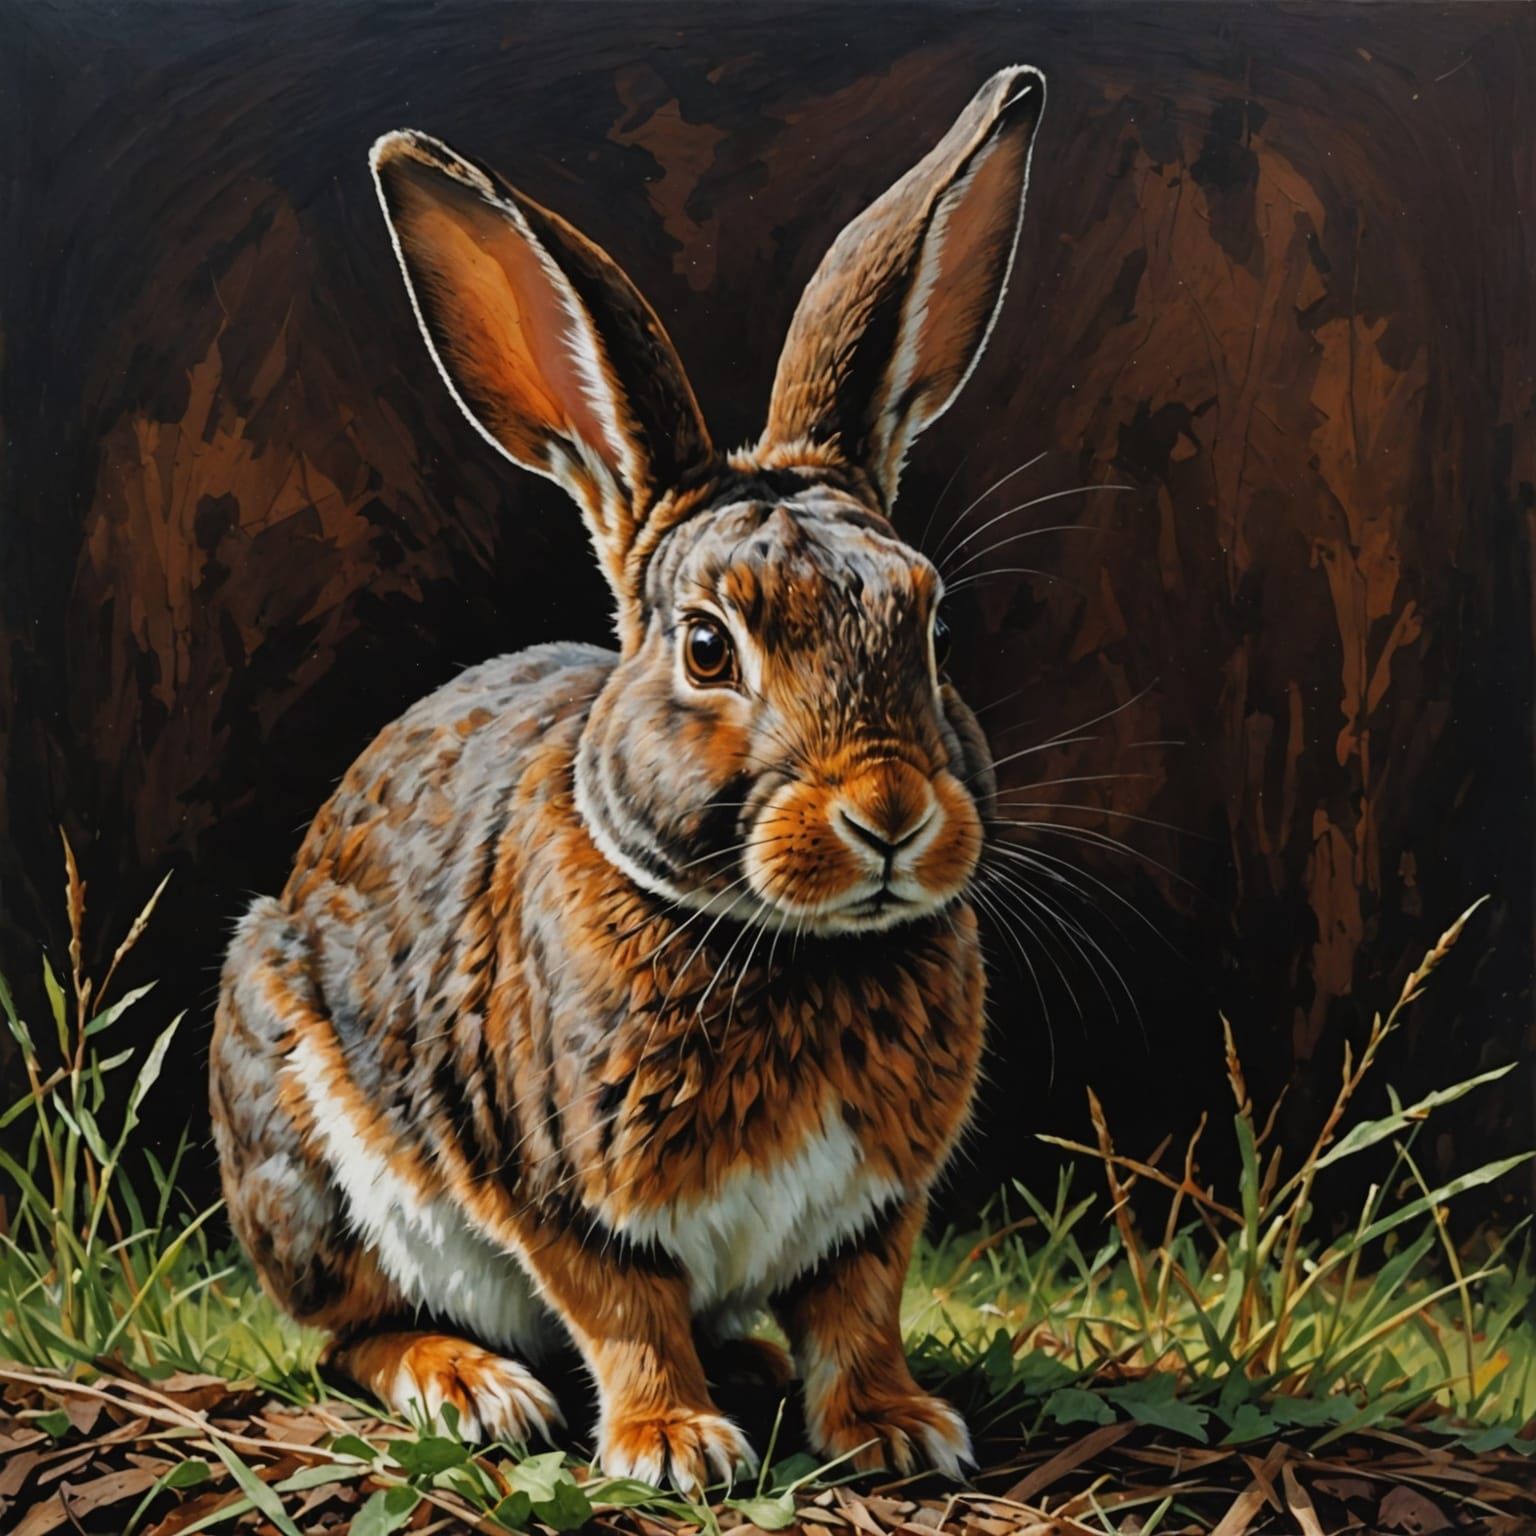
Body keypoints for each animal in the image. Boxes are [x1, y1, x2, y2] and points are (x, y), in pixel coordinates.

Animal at [210, 64, 1045, 1493]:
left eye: (928, 624)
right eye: (708, 647)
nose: (888, 815)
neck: (786, 946)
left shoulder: (874, 1207)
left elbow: (857, 1310)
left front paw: (895, 1429)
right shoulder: (558, 1182)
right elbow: (623, 1311)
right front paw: (672, 1446)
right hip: (304, 1158)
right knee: (353, 1330)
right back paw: (474, 1386)